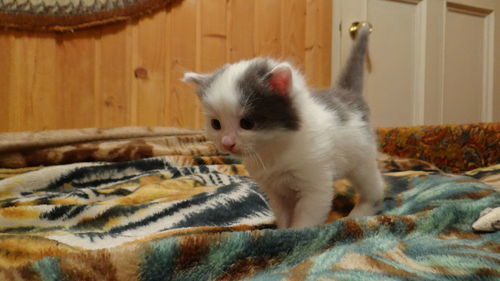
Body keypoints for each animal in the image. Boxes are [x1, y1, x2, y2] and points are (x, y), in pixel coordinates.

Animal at [184, 25, 382, 229]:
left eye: (247, 123)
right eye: (216, 124)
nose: (227, 143)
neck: (274, 148)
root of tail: (347, 93)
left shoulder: (315, 182)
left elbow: (307, 217)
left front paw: (295, 232)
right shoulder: (275, 189)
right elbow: (283, 213)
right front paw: (281, 229)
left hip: (361, 159)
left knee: (375, 186)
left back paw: (360, 212)